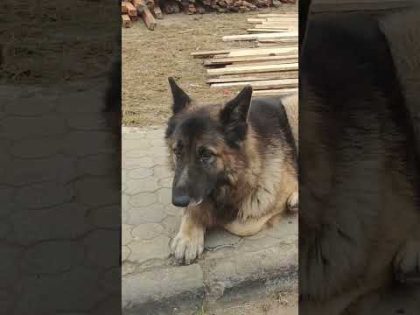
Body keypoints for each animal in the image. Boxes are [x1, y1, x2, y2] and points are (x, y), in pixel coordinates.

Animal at [164, 78, 298, 264]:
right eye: (177, 151)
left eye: (206, 154)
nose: (178, 201)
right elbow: (195, 207)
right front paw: (188, 236)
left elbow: (239, 225)